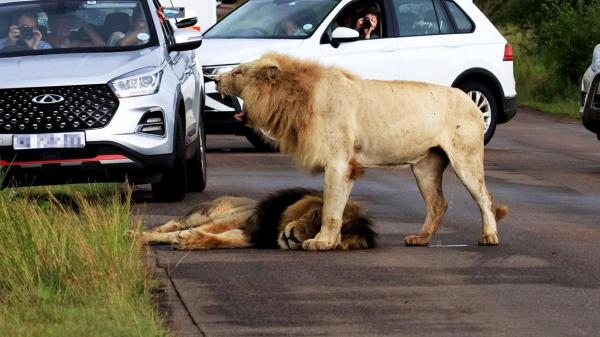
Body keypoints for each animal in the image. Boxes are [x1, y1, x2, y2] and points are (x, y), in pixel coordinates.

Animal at [141, 189, 376, 249]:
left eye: (331, 238)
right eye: (316, 215)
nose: (293, 238)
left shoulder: (251, 235)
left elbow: (219, 239)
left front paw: (191, 241)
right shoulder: (244, 219)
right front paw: (138, 237)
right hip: (203, 213)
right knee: (172, 223)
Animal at [214, 51, 506, 248]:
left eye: (238, 72)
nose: (214, 78)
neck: (298, 98)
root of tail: (468, 98)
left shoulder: (337, 162)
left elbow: (330, 208)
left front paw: (321, 242)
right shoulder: (346, 167)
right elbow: (338, 207)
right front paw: (332, 240)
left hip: (465, 159)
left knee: (485, 198)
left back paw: (489, 236)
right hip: (426, 166)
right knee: (438, 204)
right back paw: (420, 238)